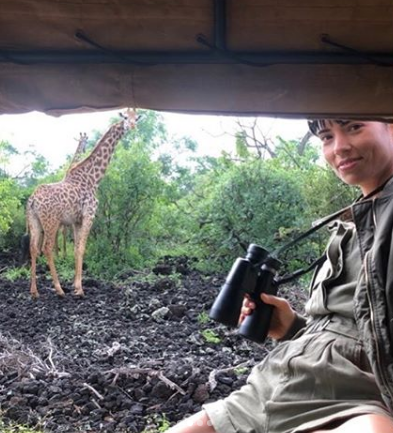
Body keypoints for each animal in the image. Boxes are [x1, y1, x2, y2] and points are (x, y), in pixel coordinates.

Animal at [26, 108, 136, 296]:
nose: (133, 126)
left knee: (33, 248)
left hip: (35, 221)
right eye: (126, 118)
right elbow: (82, 248)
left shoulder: (76, 221)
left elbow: (77, 248)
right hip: (51, 221)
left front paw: (76, 285)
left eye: (137, 118)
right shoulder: (89, 215)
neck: (93, 178)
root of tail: (33, 200)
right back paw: (58, 289)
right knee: (46, 248)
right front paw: (79, 289)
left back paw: (34, 292)